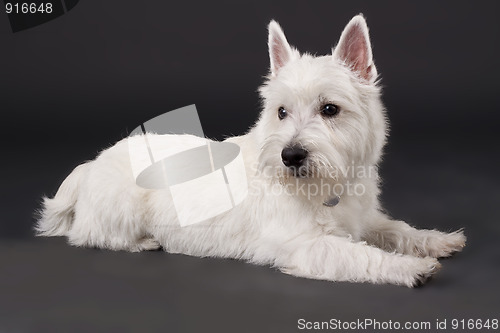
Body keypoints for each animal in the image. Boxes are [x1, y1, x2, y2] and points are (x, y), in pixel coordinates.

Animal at [37, 15, 466, 286]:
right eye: (281, 112)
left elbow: (394, 228)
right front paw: (410, 268)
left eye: (330, 109)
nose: (290, 156)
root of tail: (91, 164)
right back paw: (144, 241)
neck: (325, 190)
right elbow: (361, 255)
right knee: (91, 235)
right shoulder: (306, 246)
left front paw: (436, 240)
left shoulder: (363, 218)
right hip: (120, 212)